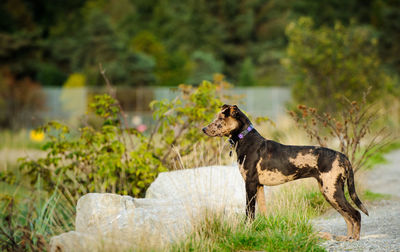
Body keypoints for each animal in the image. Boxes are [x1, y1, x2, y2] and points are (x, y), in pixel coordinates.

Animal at [203, 104, 368, 240]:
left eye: (220, 118)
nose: (203, 129)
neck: (247, 140)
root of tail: (343, 157)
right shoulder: (259, 186)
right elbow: (262, 211)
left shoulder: (250, 184)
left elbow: (249, 213)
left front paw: (247, 230)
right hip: (329, 192)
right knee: (348, 217)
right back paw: (346, 238)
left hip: (332, 191)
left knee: (356, 214)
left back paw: (354, 238)